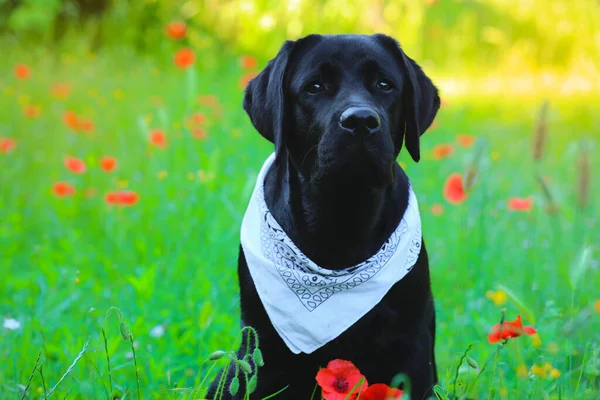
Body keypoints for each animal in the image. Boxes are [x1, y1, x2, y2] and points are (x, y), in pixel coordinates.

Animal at [209, 34, 438, 400]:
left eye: (384, 85)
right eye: (314, 87)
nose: (361, 120)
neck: (342, 219)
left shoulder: (412, 343)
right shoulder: (263, 348)